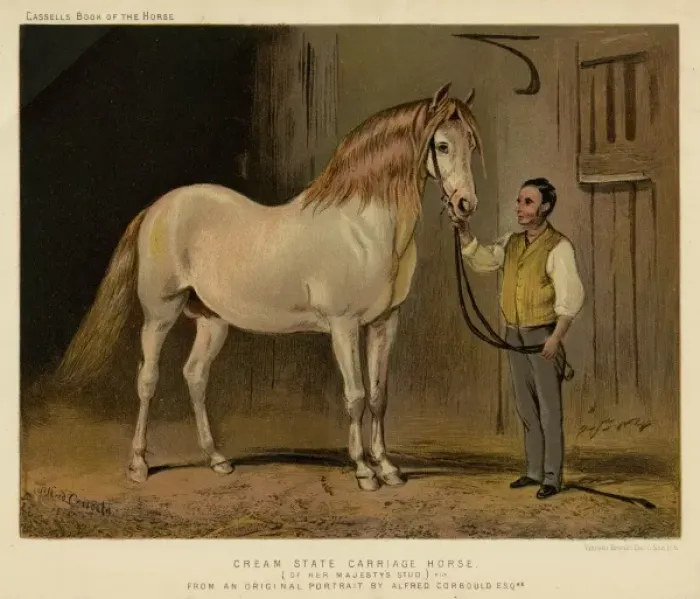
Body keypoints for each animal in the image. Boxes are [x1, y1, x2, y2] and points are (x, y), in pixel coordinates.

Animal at [54, 82, 484, 491]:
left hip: (212, 320)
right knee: (147, 379)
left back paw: (217, 459)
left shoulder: (384, 324)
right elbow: (356, 396)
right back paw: (139, 465)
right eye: (442, 145)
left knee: (195, 375)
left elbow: (379, 396)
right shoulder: (344, 327)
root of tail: (158, 208)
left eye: (471, 143)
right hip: (160, 314)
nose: (466, 204)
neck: (363, 229)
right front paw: (364, 471)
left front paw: (389, 468)